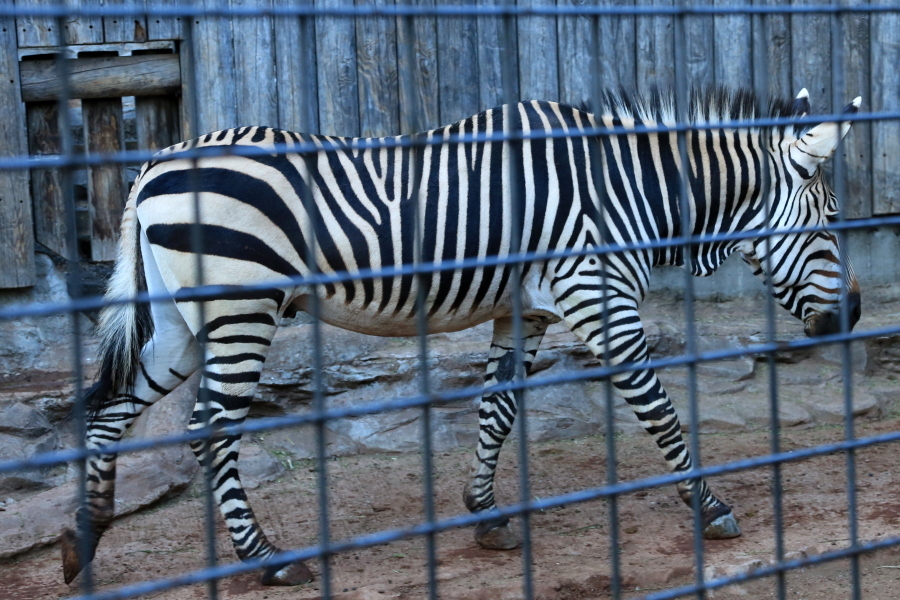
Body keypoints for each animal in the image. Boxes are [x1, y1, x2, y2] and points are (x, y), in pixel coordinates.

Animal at [59, 89, 860, 584]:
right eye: (826, 224)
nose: (851, 316)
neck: (627, 187)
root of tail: (152, 166)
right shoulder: (599, 300)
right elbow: (658, 411)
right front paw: (713, 508)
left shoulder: (526, 310)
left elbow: (498, 408)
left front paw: (485, 514)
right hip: (240, 311)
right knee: (208, 428)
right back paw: (268, 560)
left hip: (180, 323)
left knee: (108, 412)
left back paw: (84, 540)